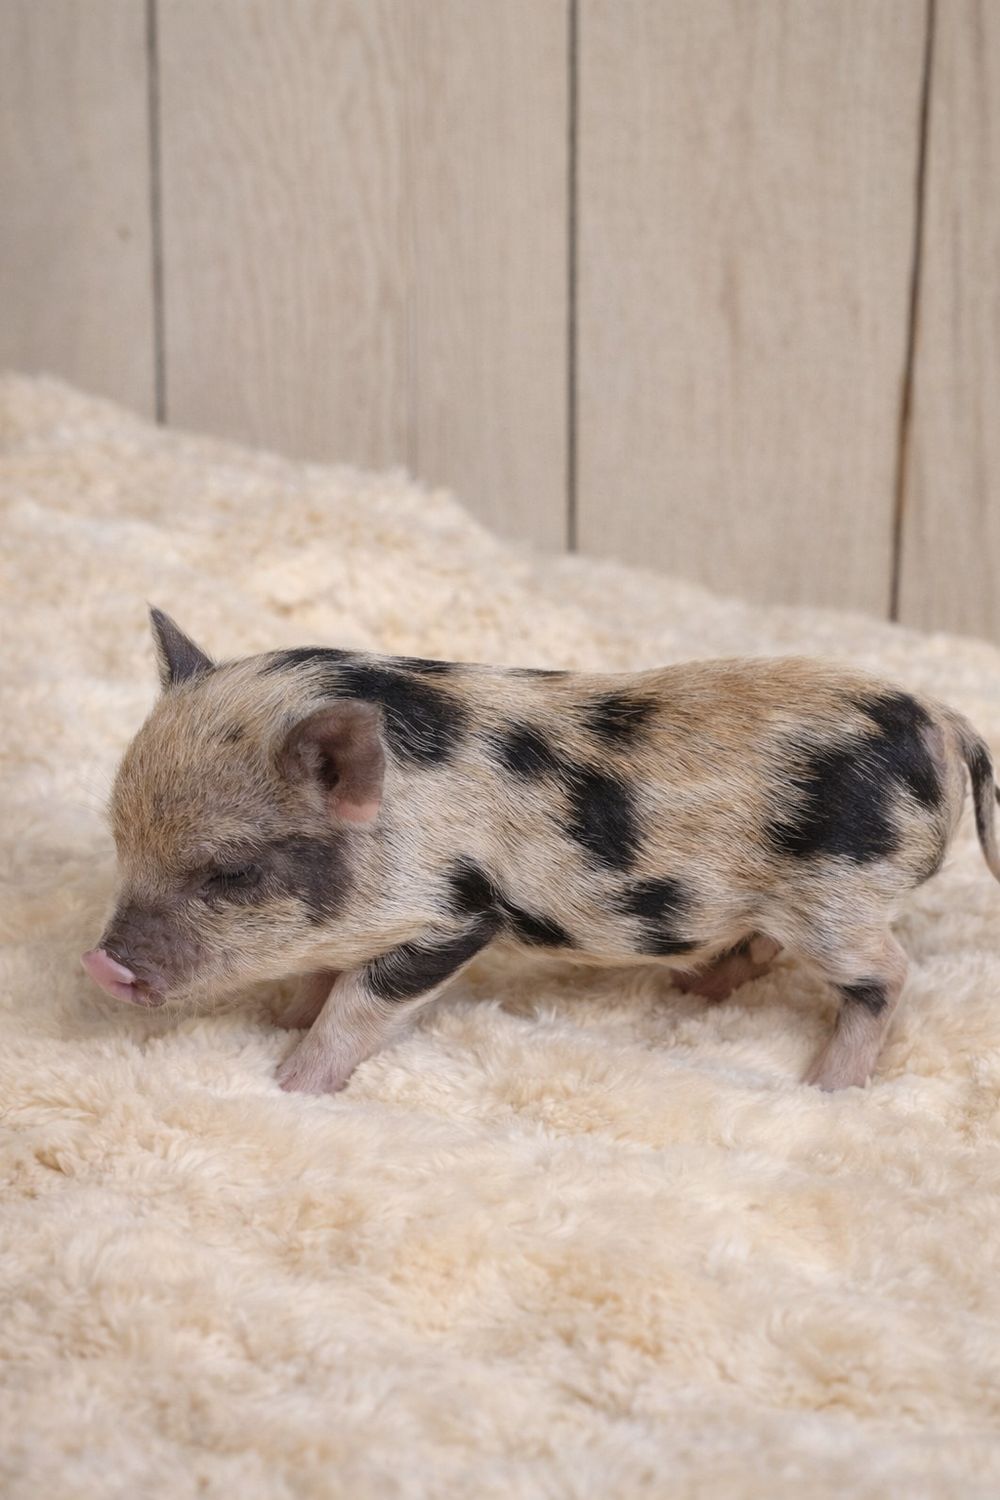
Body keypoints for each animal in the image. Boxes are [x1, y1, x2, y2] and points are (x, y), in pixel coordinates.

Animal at [81, 609, 1000, 1094]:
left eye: (231, 870)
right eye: (121, 841)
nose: (100, 964)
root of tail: (943, 720)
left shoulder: (455, 914)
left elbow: (359, 1005)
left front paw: (288, 1081)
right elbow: (321, 978)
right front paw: (282, 1017)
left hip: (839, 898)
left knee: (888, 975)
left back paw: (822, 1087)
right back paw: (691, 989)